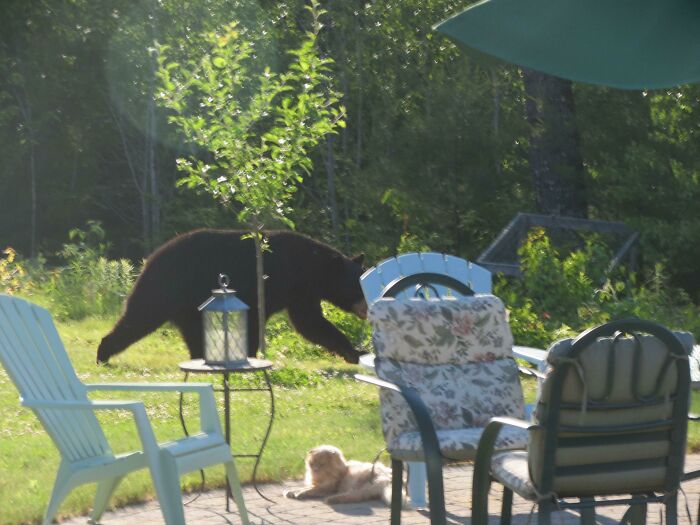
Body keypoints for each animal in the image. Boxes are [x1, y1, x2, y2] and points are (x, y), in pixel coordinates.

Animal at [96, 229, 368, 365]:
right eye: (359, 288)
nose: (367, 309)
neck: (308, 268)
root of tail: (149, 259)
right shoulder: (274, 283)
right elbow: (265, 319)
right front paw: (251, 354)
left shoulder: (301, 293)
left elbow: (311, 322)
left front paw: (354, 352)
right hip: (165, 289)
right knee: (139, 317)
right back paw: (103, 353)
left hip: (185, 304)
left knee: (190, 329)